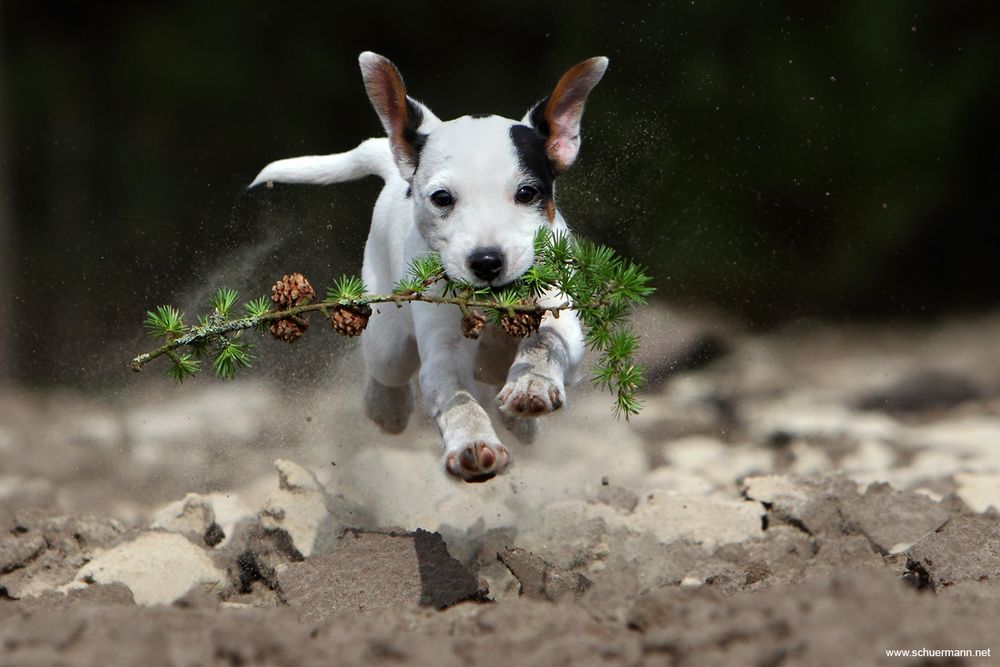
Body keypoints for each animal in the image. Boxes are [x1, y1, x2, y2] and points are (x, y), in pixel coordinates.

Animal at [252, 51, 608, 480]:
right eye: (441, 198)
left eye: (527, 193)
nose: (487, 261)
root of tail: (396, 172)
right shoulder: (443, 349)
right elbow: (456, 395)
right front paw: (472, 443)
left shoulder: (560, 313)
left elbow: (545, 342)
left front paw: (530, 386)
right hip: (387, 336)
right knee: (383, 368)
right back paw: (386, 407)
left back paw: (521, 421)